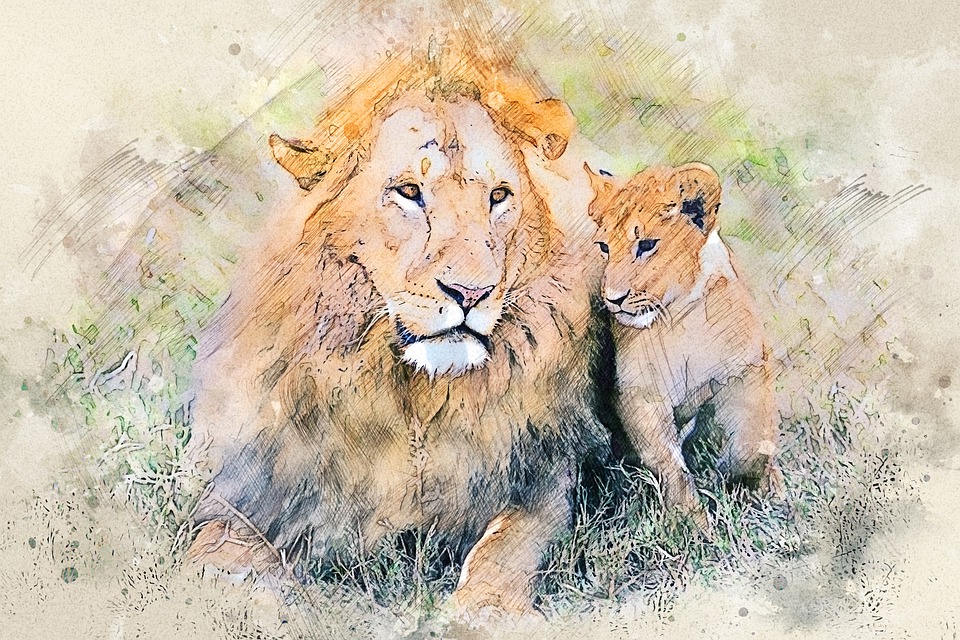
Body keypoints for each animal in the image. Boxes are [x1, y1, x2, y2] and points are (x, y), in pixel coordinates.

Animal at [182, 49, 607, 619]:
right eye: (409, 192)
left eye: (499, 197)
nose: (471, 292)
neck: (412, 399)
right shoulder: (244, 487)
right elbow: (218, 550)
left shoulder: (544, 479)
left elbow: (506, 548)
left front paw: (483, 610)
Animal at [585, 162, 783, 525]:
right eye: (604, 247)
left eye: (647, 244)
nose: (613, 299)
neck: (679, 319)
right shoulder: (640, 392)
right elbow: (668, 462)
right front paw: (690, 520)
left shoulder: (748, 370)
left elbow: (753, 440)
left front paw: (750, 482)